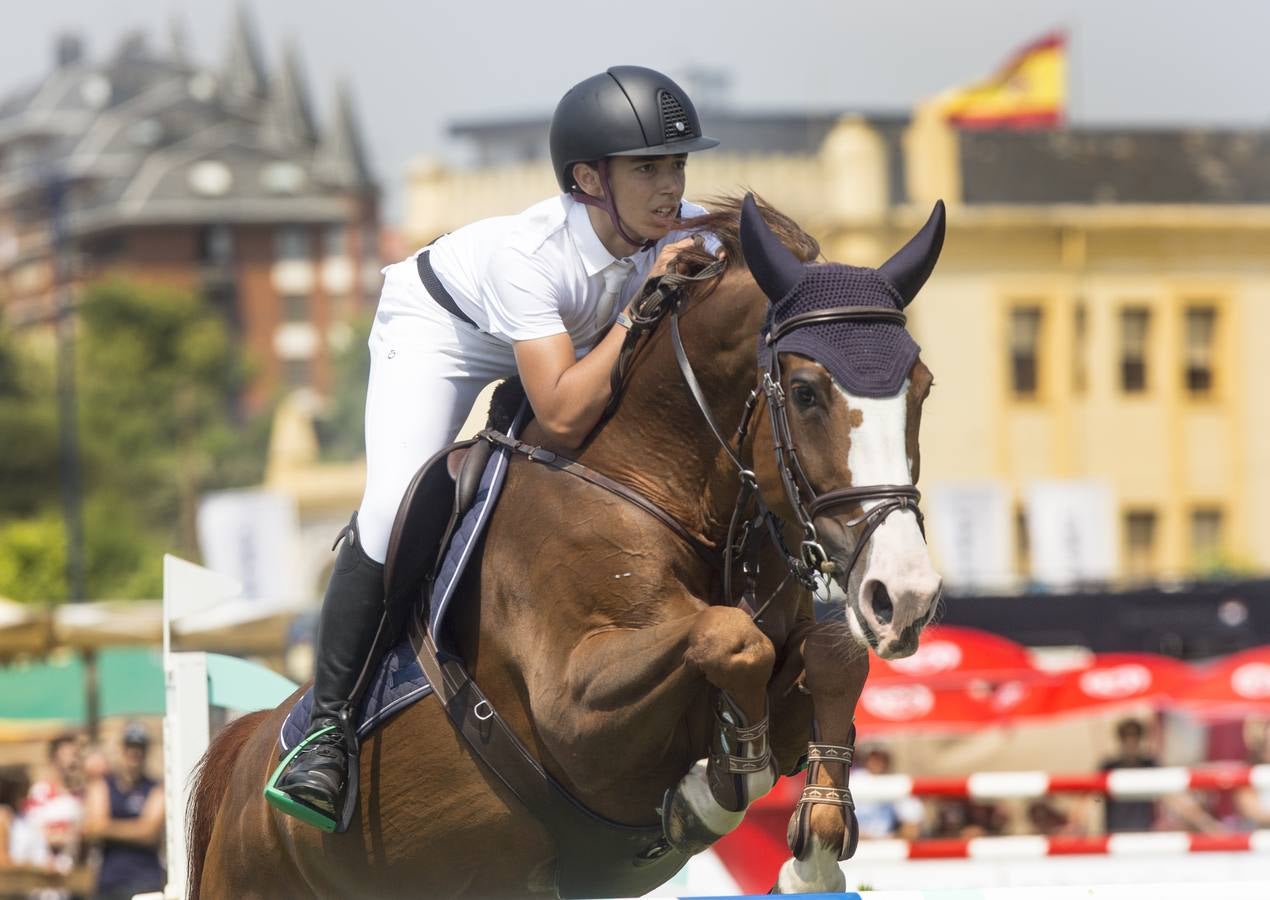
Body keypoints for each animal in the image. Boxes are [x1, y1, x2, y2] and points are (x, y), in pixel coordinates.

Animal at [185, 192, 944, 893]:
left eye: (923, 388)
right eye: (807, 391)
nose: (905, 596)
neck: (656, 485)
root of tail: (245, 757)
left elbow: (834, 653)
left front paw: (814, 851)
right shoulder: (576, 714)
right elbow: (728, 639)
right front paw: (705, 794)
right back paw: (316, 769)